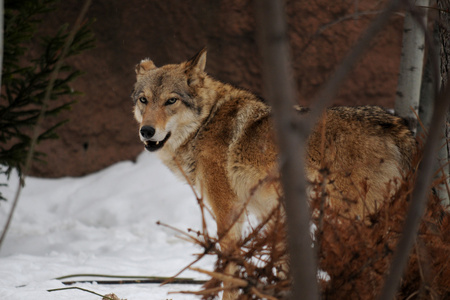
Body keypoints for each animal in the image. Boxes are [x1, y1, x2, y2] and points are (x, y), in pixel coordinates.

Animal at [130, 48, 414, 298]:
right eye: (144, 100)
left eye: (171, 100)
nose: (147, 131)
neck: (204, 124)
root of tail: (396, 125)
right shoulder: (275, 216)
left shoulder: (229, 215)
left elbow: (230, 276)